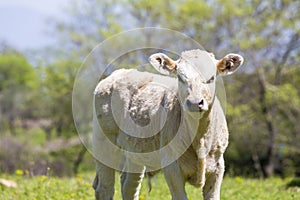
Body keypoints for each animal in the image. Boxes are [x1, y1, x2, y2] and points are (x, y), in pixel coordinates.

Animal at [92, 48, 243, 200]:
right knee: (105, 188)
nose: (194, 102)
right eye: (180, 77)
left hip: (135, 151)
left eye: (211, 78)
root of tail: (118, 73)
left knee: (128, 185)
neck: (200, 138)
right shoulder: (171, 167)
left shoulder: (218, 166)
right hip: (103, 144)